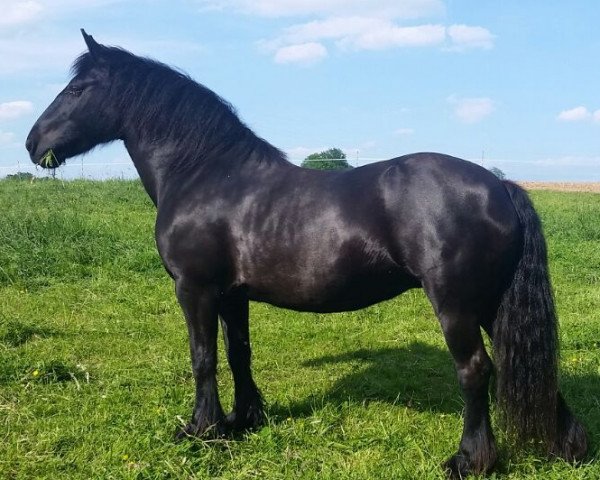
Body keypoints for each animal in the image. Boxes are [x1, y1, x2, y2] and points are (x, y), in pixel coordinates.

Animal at [27, 30, 584, 476]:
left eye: (76, 89)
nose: (33, 143)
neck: (207, 174)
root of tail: (499, 186)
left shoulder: (195, 289)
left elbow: (203, 357)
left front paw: (201, 429)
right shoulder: (232, 295)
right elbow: (238, 352)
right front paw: (244, 420)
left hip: (458, 306)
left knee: (475, 370)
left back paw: (470, 459)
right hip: (494, 305)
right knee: (525, 364)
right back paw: (566, 447)